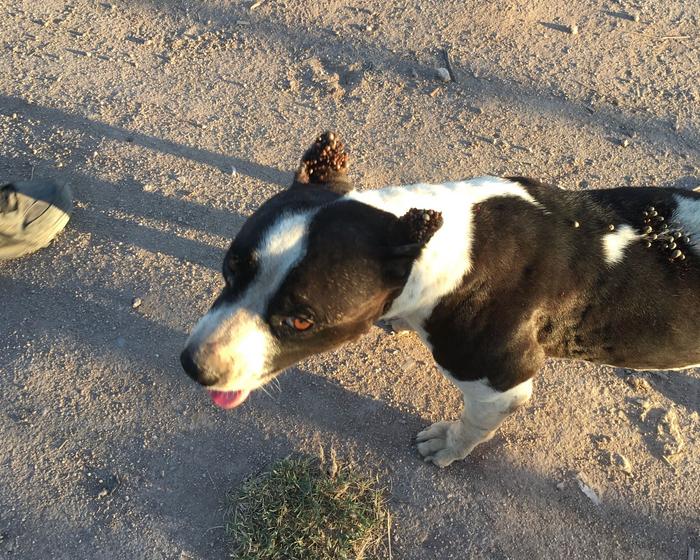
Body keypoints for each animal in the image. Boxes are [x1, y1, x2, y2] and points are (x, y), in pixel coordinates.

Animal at [182, 132, 700, 468]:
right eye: (230, 268)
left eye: (303, 321)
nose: (194, 366)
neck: (454, 251)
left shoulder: (500, 385)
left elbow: (473, 426)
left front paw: (448, 446)